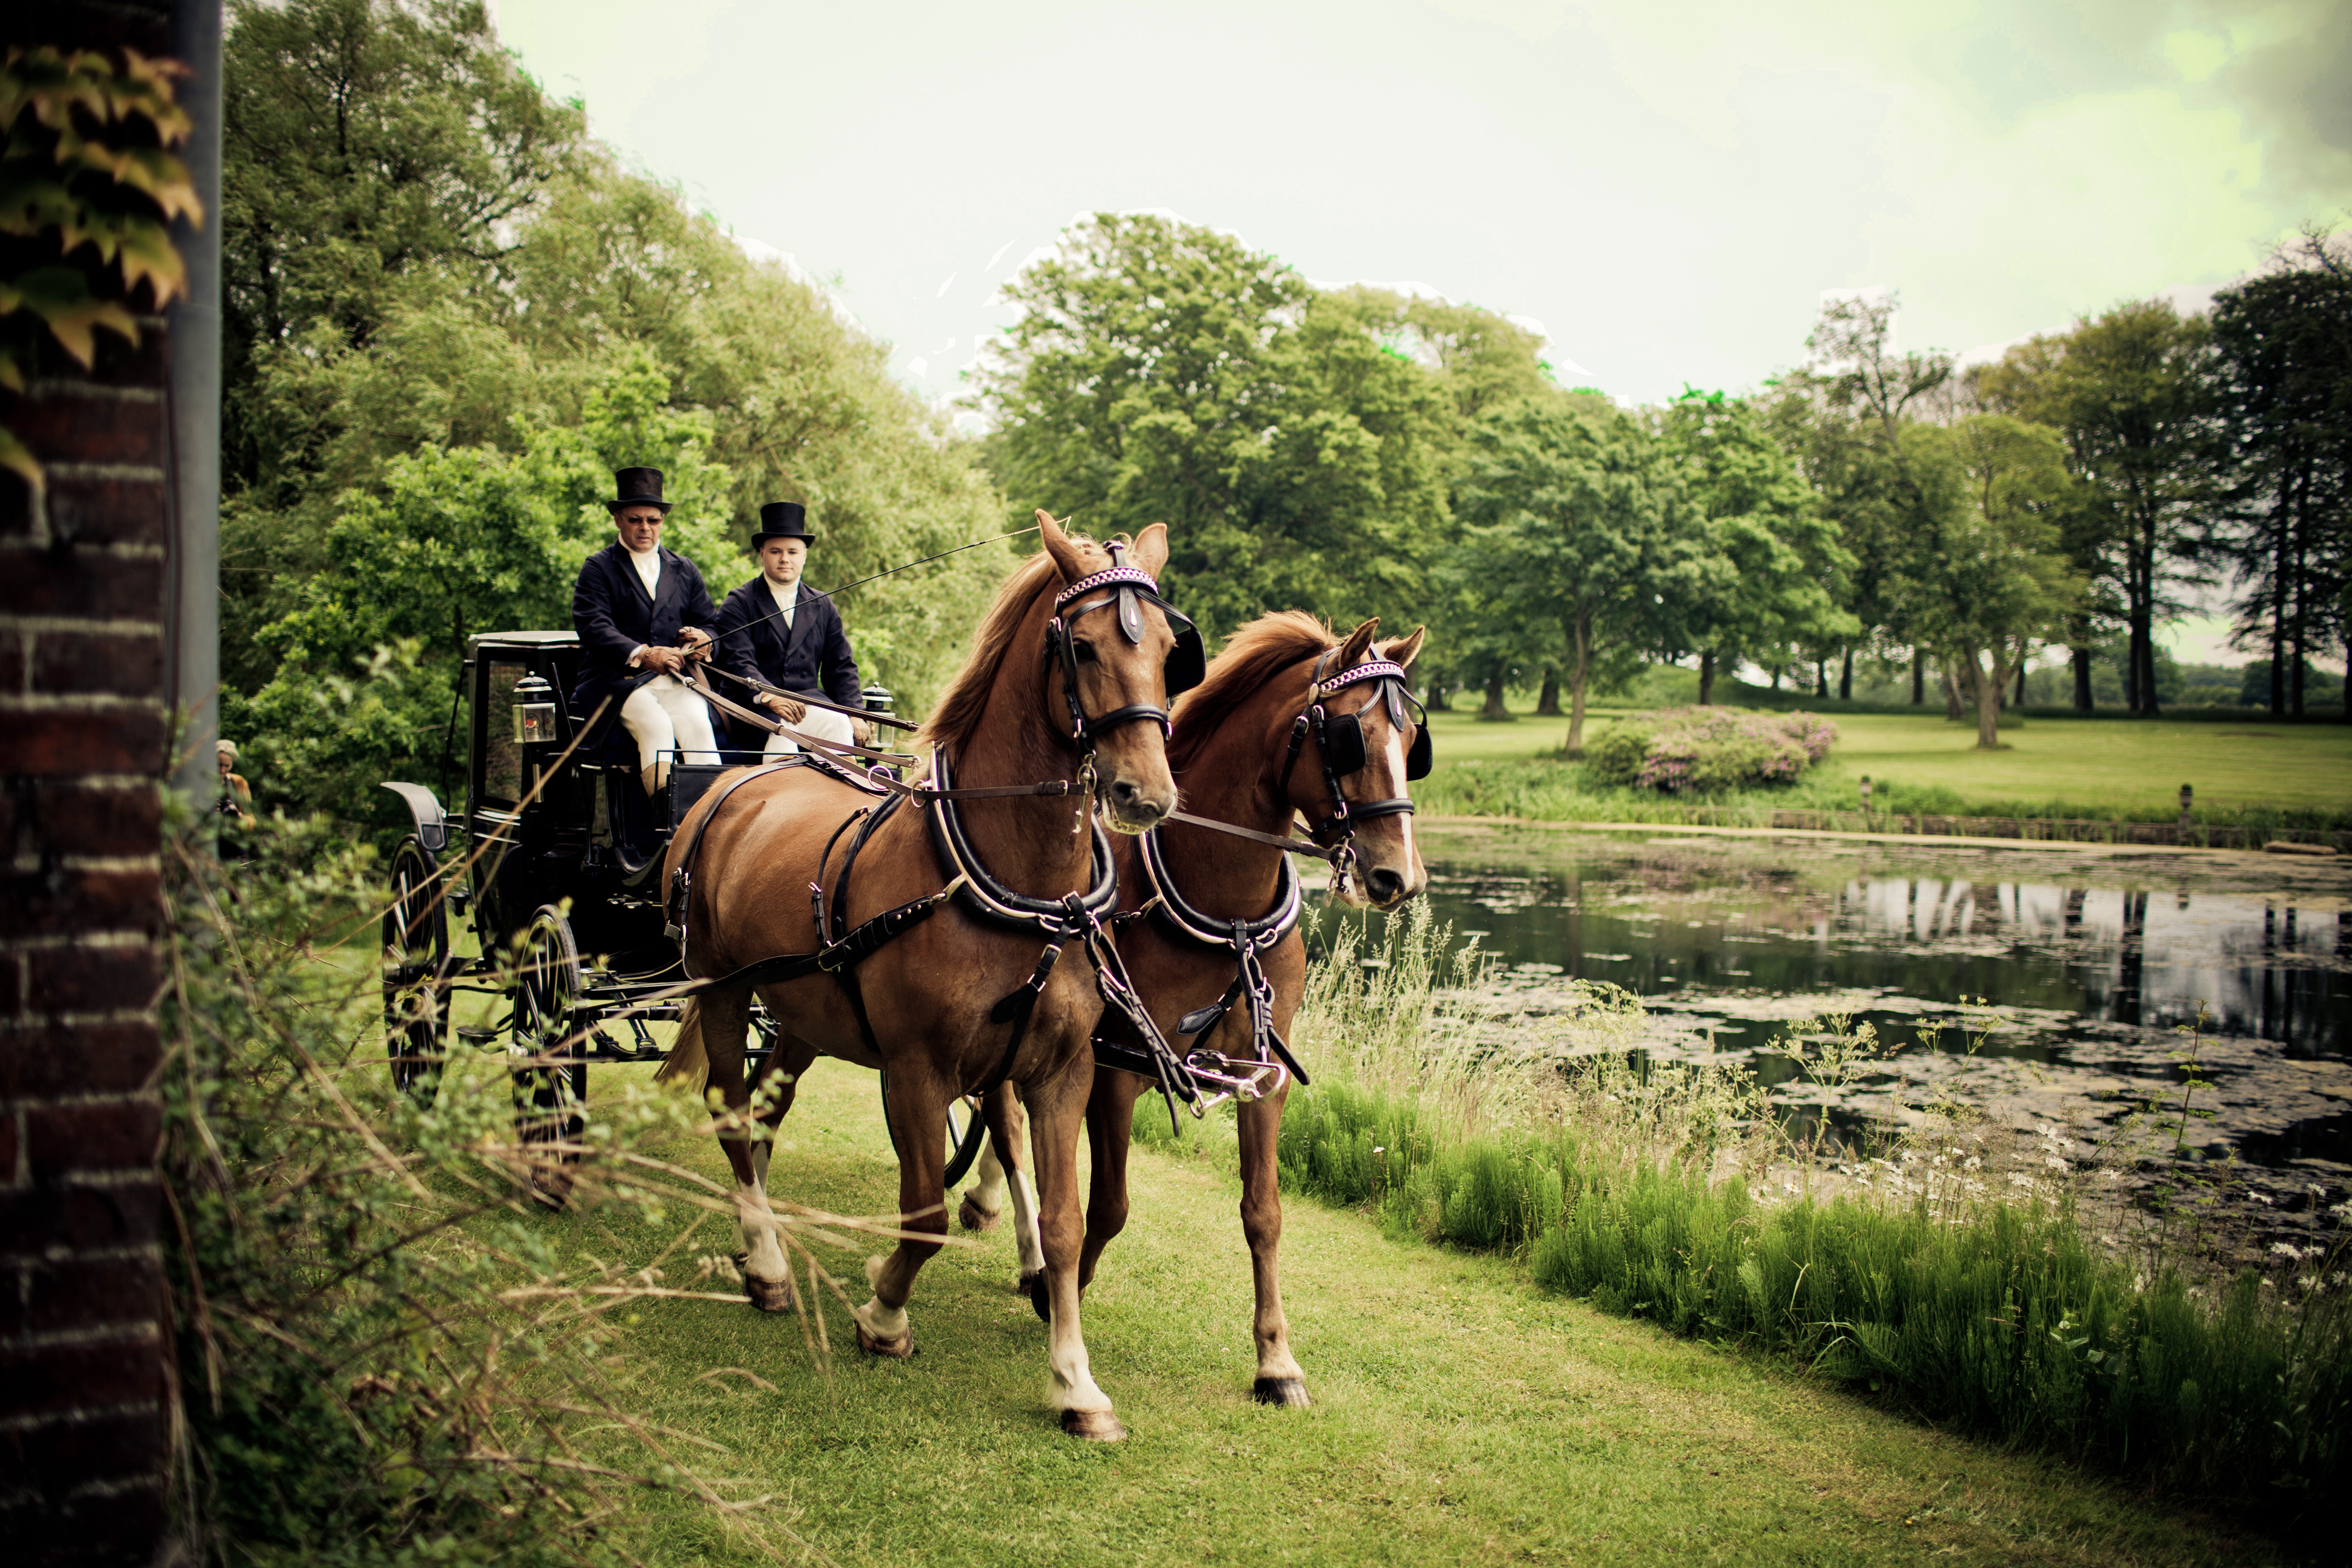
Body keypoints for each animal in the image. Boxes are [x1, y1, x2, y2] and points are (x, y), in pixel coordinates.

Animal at [655, 512, 1196, 1440]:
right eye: (1083, 646)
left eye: (1169, 648)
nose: (1146, 795)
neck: (1019, 885)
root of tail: (738, 784)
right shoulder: (916, 1069)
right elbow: (925, 1212)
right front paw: (883, 1313)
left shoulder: (1060, 1072)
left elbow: (1063, 1222)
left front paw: (1074, 1380)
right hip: (721, 987)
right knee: (730, 1112)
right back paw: (766, 1260)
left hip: (802, 1014)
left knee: (764, 1111)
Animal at [956, 612, 1430, 1408]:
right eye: (1350, 737)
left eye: (1413, 743)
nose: (1400, 876)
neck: (1225, 910)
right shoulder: (1116, 1071)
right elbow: (1109, 1204)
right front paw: (1059, 1293)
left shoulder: (1262, 1075)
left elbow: (1264, 1213)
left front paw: (1277, 1361)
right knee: (1006, 1119)